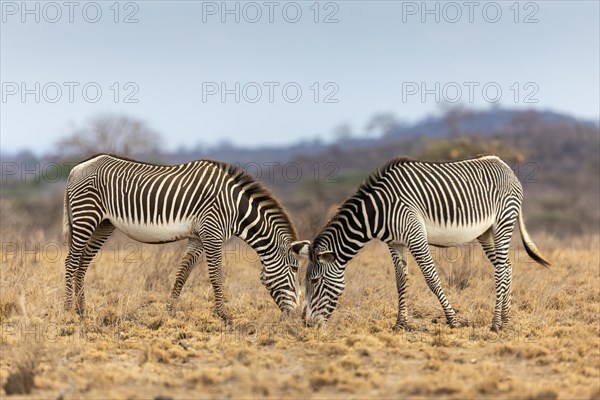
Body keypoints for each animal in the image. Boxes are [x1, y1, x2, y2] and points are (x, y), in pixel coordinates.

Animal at [63, 155, 304, 320]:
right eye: (295, 268)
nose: (296, 316)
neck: (235, 209)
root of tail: (76, 168)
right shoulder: (212, 233)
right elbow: (216, 276)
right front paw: (223, 315)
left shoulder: (198, 237)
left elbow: (182, 274)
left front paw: (169, 311)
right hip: (86, 217)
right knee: (71, 262)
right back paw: (66, 311)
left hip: (103, 225)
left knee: (82, 264)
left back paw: (82, 311)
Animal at [292, 154, 552, 332]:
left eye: (314, 281)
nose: (306, 323)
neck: (378, 211)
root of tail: (504, 165)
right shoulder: (395, 243)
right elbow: (400, 281)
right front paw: (400, 324)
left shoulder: (415, 236)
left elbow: (431, 278)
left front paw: (453, 320)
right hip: (486, 232)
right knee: (505, 267)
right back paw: (505, 317)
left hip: (502, 222)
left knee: (500, 270)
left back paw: (496, 322)